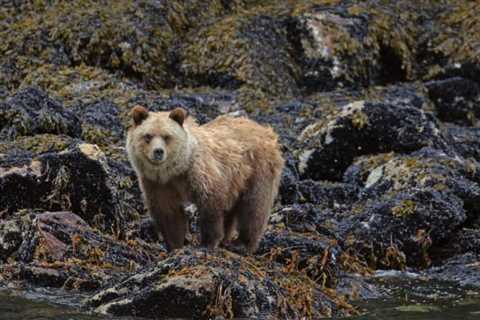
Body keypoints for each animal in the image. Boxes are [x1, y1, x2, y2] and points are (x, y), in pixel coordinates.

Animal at [127, 106, 284, 254]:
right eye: (148, 136)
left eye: (167, 136)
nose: (158, 151)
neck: (176, 170)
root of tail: (266, 130)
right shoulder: (158, 184)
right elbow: (168, 213)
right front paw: (175, 245)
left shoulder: (201, 173)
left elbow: (210, 207)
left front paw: (206, 244)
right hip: (234, 182)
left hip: (257, 169)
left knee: (254, 206)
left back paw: (241, 244)